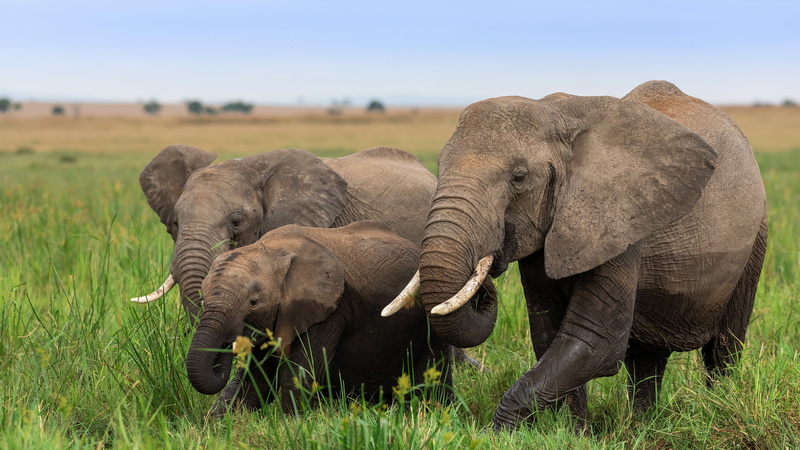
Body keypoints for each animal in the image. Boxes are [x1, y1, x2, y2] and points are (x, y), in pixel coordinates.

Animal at [186, 221, 455, 414]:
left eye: (253, 302)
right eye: (203, 298)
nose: (228, 343)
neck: (272, 249)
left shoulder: (328, 311)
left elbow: (298, 377)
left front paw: (294, 424)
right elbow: (256, 381)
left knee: (432, 378)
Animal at [384, 80, 768, 430]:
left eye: (519, 177)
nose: (483, 286)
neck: (558, 114)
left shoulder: (620, 224)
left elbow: (596, 341)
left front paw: (501, 432)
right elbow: (549, 335)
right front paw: (574, 433)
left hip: (755, 241)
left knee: (724, 349)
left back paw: (717, 408)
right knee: (647, 360)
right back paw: (644, 427)